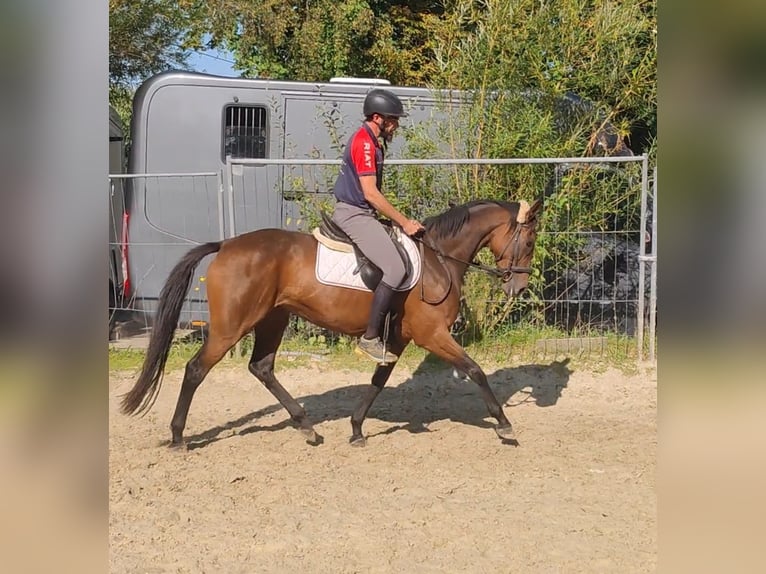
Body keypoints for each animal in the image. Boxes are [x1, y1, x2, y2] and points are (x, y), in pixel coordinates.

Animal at [120, 199, 544, 450]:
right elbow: (475, 370)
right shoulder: (432, 335)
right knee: (196, 369)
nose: (520, 288)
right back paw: (178, 436)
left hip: (273, 318)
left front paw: (356, 429)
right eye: (529, 241)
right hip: (230, 328)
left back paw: (307, 427)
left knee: (262, 367)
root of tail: (225, 245)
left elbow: (378, 380)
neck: (438, 260)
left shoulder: (399, 340)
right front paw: (504, 425)